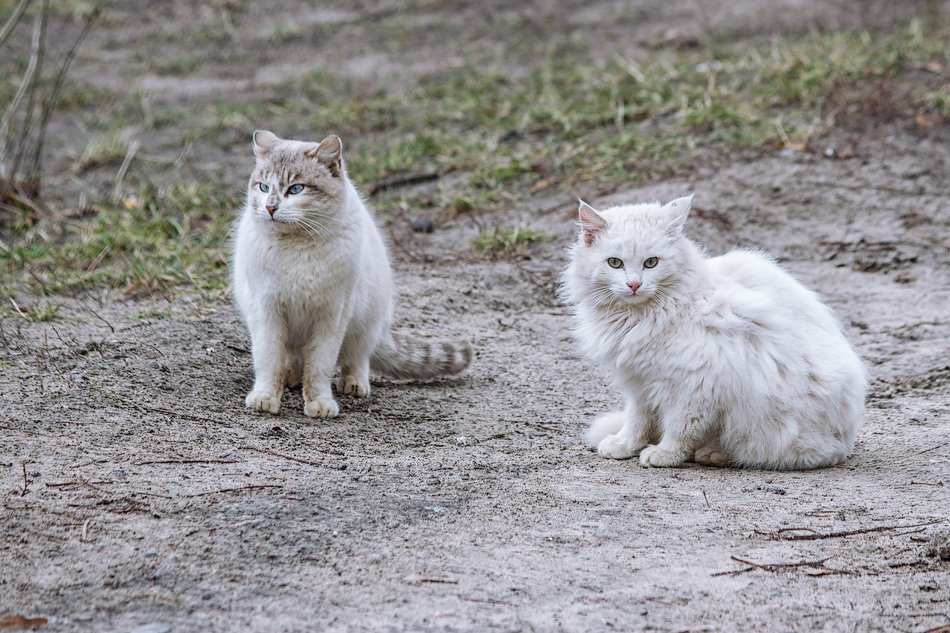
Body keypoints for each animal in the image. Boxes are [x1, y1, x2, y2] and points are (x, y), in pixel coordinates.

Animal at [231, 129, 468, 418]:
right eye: (264, 187)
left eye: (296, 189)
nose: (270, 208)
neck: (297, 245)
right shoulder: (267, 311)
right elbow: (268, 361)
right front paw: (266, 396)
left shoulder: (332, 315)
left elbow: (319, 366)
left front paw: (319, 403)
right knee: (293, 359)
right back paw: (290, 378)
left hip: (366, 322)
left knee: (357, 357)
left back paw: (353, 384)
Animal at [564, 195, 872, 466]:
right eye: (614, 263)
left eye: (651, 262)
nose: (634, 285)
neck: (645, 314)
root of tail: (844, 444)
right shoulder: (640, 383)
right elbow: (637, 420)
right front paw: (624, 445)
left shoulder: (696, 382)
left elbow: (679, 427)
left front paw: (664, 454)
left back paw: (712, 454)